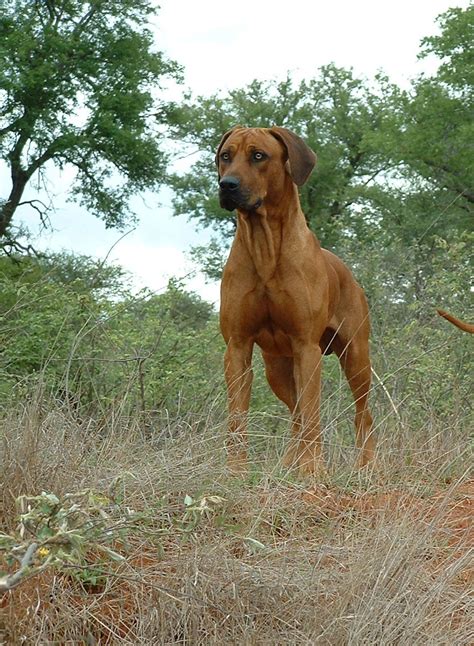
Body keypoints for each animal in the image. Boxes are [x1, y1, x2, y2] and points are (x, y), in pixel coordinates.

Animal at [217, 126, 376, 476]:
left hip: (356, 357)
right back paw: (289, 464)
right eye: (225, 156)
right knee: (296, 414)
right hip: (276, 367)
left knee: (362, 414)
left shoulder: (306, 347)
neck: (265, 247)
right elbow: (236, 417)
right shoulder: (237, 346)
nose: (227, 185)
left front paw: (313, 471)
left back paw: (365, 467)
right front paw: (235, 470)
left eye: (258, 156)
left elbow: (314, 416)